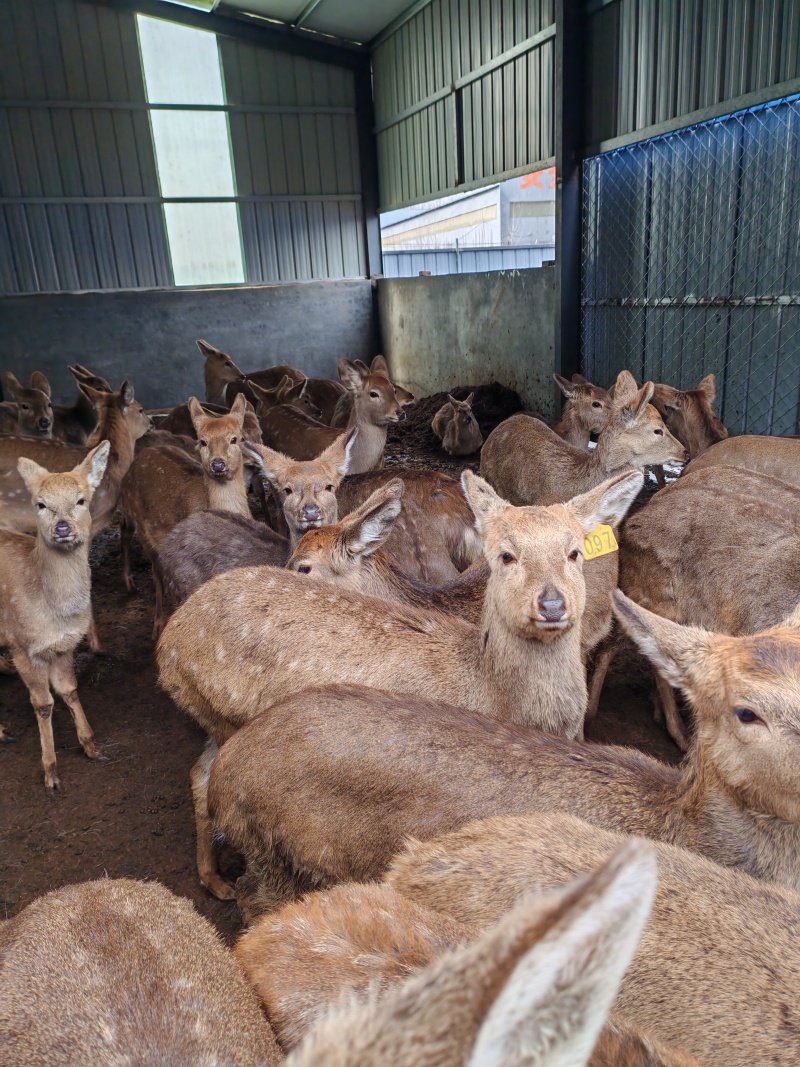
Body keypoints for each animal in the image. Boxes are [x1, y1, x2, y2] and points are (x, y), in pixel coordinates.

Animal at [0, 442, 109, 789]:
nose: (63, 528)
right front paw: (50, 772)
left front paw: (92, 746)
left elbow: (69, 690)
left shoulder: (65, 645)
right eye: (40, 504)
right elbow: (44, 704)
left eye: (81, 499)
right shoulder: (23, 645)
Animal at [120, 396, 252, 638]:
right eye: (202, 441)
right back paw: (158, 624)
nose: (218, 464)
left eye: (235, 439)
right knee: (156, 574)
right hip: (141, 527)